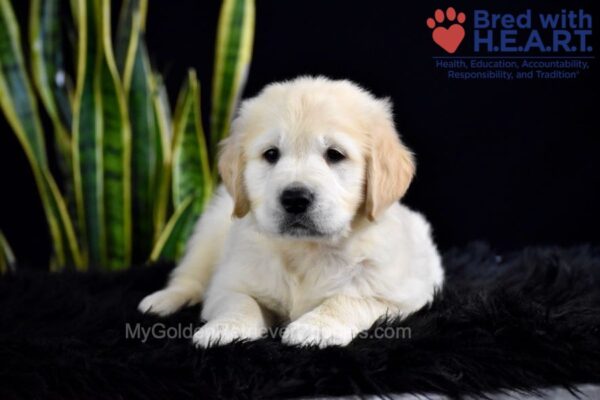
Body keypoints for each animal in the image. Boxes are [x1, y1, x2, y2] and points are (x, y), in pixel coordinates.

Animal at [138, 77, 442, 346]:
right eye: (271, 154)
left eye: (334, 154)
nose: (295, 199)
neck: (306, 251)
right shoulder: (229, 281)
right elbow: (240, 301)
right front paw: (225, 328)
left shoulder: (401, 293)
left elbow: (348, 299)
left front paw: (315, 328)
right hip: (208, 234)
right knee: (189, 277)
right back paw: (161, 300)